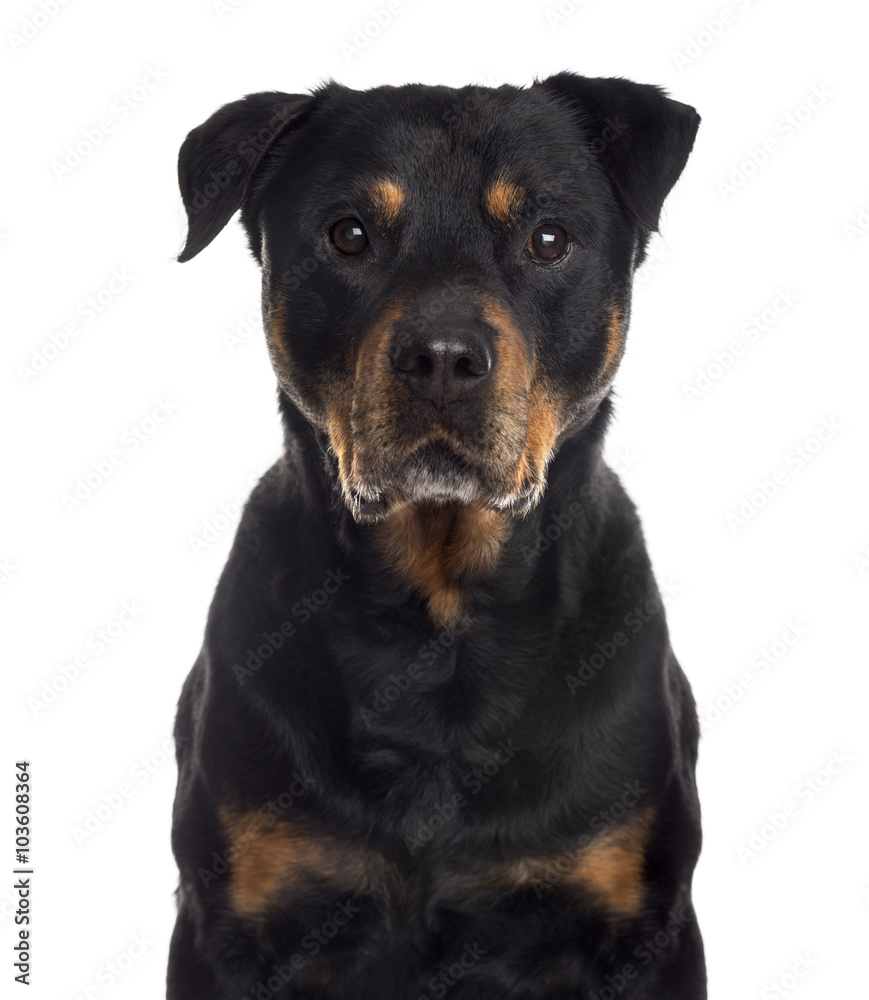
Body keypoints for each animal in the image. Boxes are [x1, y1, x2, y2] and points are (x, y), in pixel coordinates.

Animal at [168, 74, 704, 996]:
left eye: (548, 238)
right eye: (348, 234)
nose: (443, 357)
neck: (443, 617)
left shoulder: (640, 929)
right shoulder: (233, 923)